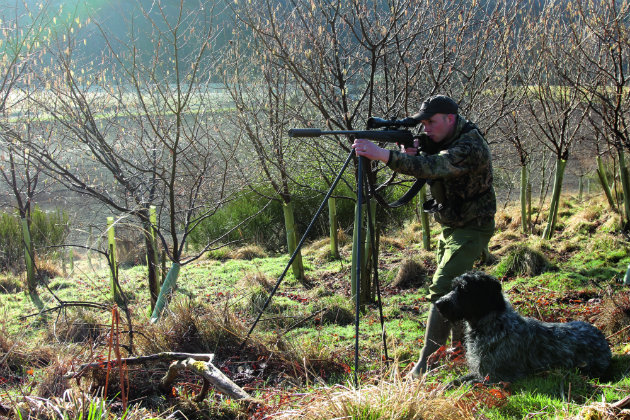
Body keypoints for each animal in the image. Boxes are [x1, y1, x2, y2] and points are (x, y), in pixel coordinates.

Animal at [434, 272, 612, 384]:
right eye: (454, 287)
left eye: (464, 289)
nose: (438, 303)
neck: (492, 323)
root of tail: (602, 338)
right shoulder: (480, 371)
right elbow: (457, 381)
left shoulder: (496, 378)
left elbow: (469, 384)